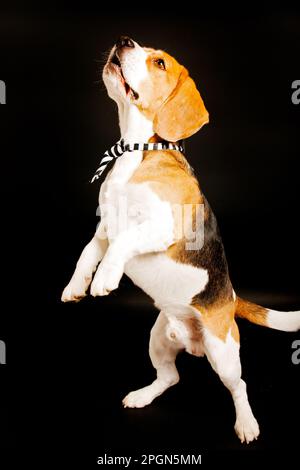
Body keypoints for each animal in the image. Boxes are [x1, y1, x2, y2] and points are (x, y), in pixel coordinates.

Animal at [62, 36, 300, 444]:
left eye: (159, 62)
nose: (123, 40)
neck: (139, 152)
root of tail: (231, 299)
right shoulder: (104, 227)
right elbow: (86, 253)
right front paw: (76, 286)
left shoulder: (161, 228)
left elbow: (123, 244)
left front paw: (105, 278)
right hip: (158, 339)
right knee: (170, 377)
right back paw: (143, 396)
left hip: (223, 353)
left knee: (239, 386)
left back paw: (246, 423)